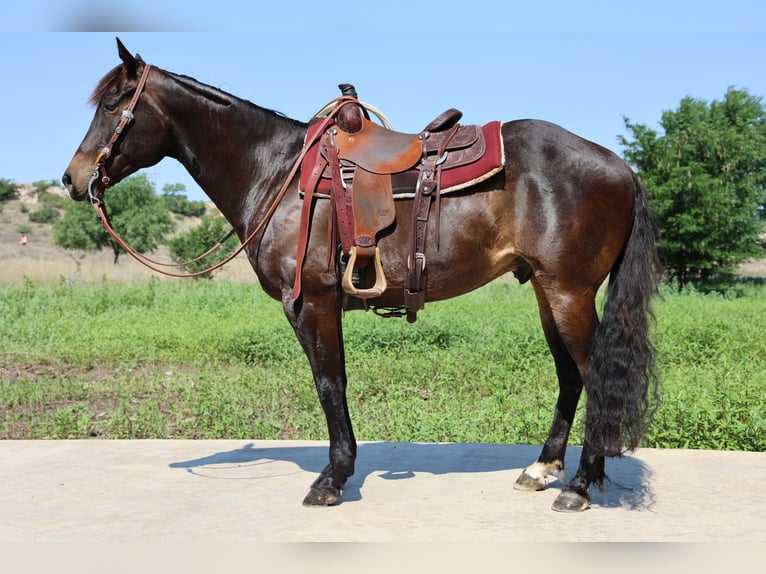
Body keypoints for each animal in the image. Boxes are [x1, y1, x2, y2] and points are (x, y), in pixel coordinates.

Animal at [63, 38, 664, 516]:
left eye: (113, 104)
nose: (72, 178)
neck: (278, 173)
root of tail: (620, 165)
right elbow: (334, 383)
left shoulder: (311, 303)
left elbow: (330, 384)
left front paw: (332, 479)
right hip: (547, 290)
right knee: (570, 377)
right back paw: (543, 470)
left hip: (568, 292)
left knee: (594, 375)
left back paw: (580, 485)